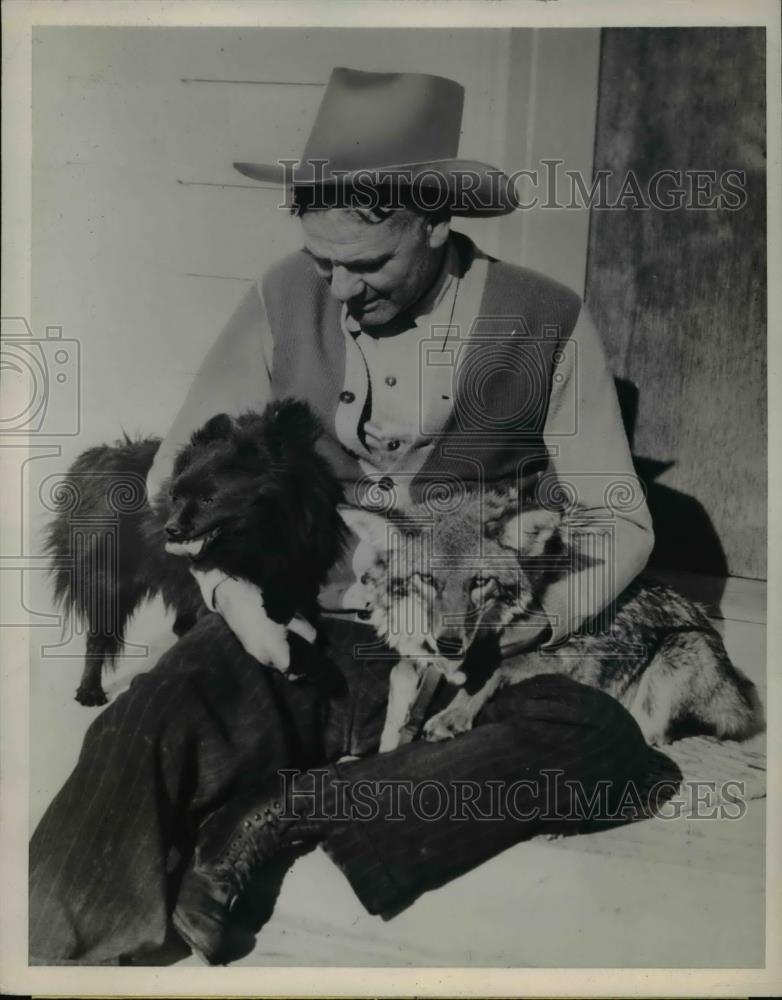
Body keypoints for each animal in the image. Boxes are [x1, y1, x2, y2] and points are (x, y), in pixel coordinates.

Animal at [44, 396, 346, 704]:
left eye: (208, 500)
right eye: (175, 497)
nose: (171, 528)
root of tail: (95, 463)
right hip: (108, 583)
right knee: (98, 638)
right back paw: (89, 690)